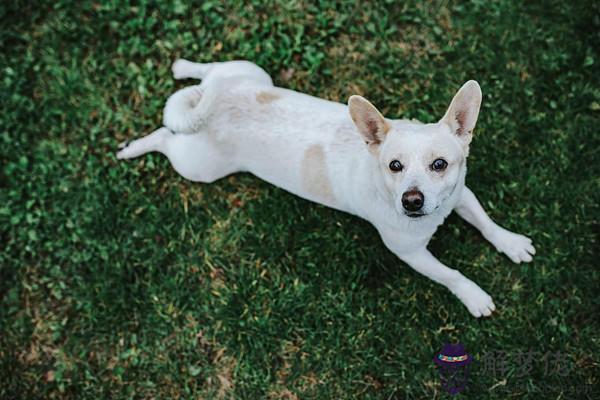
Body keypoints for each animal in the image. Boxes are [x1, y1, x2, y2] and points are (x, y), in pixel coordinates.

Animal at [116, 59, 536, 318]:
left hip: (250, 72)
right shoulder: (411, 254)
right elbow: (451, 274)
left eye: (440, 165)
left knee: (210, 71)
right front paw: (473, 296)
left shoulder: (461, 193)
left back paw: (184, 67)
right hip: (197, 166)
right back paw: (133, 147)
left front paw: (511, 243)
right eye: (394, 166)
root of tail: (212, 103)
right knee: (164, 135)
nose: (412, 201)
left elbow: (485, 222)